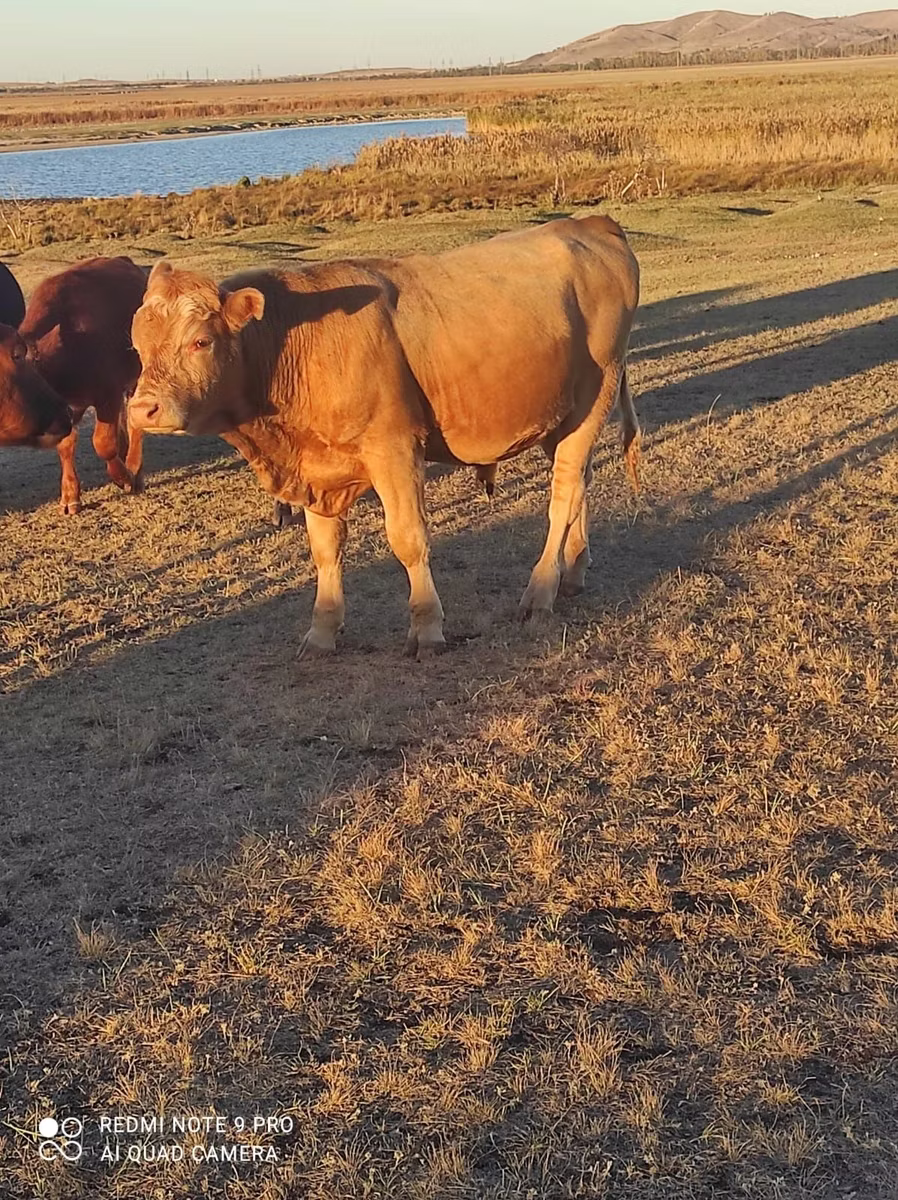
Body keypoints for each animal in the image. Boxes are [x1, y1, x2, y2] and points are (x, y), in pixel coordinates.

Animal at [20, 256, 148, 514]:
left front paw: (124, 478)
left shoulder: (108, 394)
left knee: (134, 423)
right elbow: (66, 445)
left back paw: (134, 471)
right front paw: (70, 495)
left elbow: (103, 443)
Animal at [128, 215, 641, 658]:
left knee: (564, 494)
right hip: (561, 416)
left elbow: (408, 539)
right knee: (580, 484)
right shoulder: (320, 471)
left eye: (200, 341)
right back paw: (573, 569)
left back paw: (541, 590)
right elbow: (325, 549)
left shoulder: (394, 450)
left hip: (594, 397)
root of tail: (590, 223)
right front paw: (322, 630)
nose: (141, 409)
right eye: (137, 347)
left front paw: (427, 627)